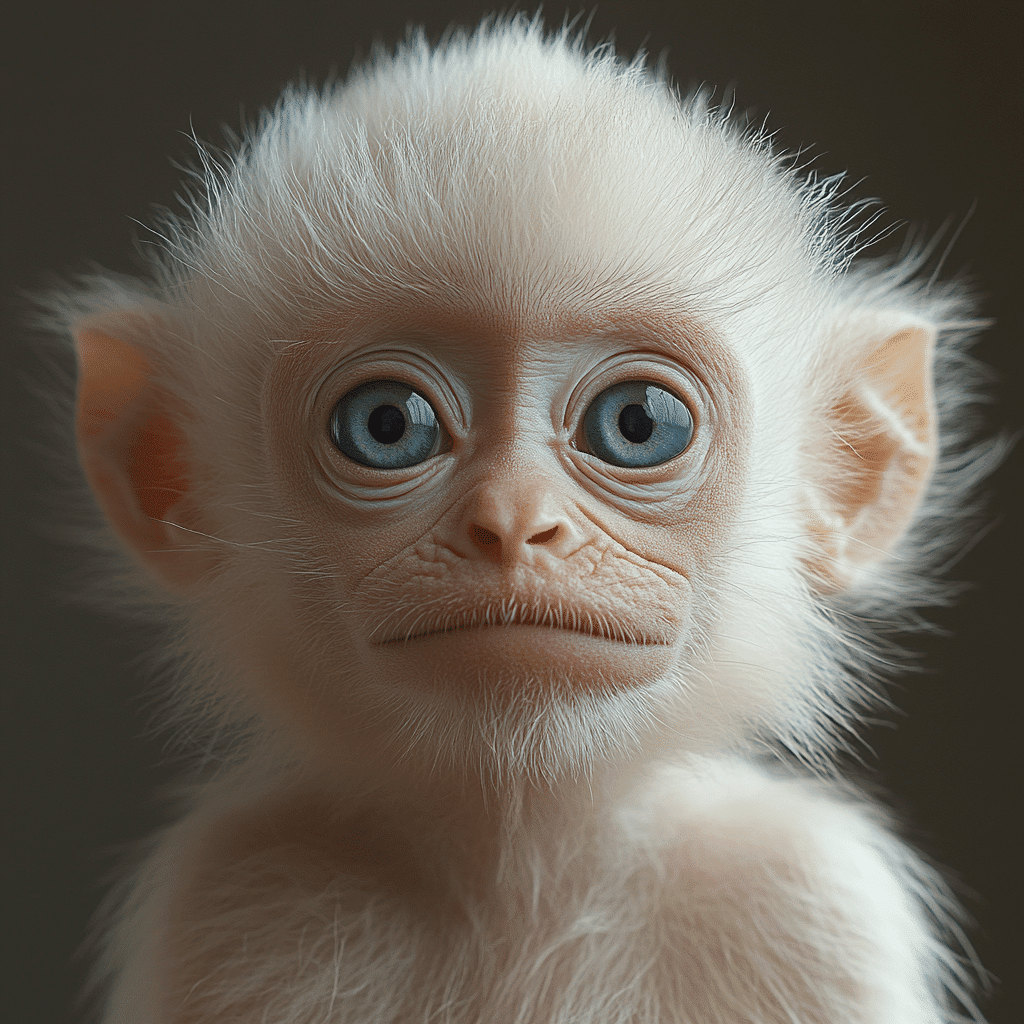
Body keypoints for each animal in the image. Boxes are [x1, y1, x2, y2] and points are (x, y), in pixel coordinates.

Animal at [44, 15, 992, 1024]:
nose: (514, 525)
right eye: (387, 426)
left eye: (639, 424)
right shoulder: (223, 891)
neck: (520, 873)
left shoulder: (814, 895)